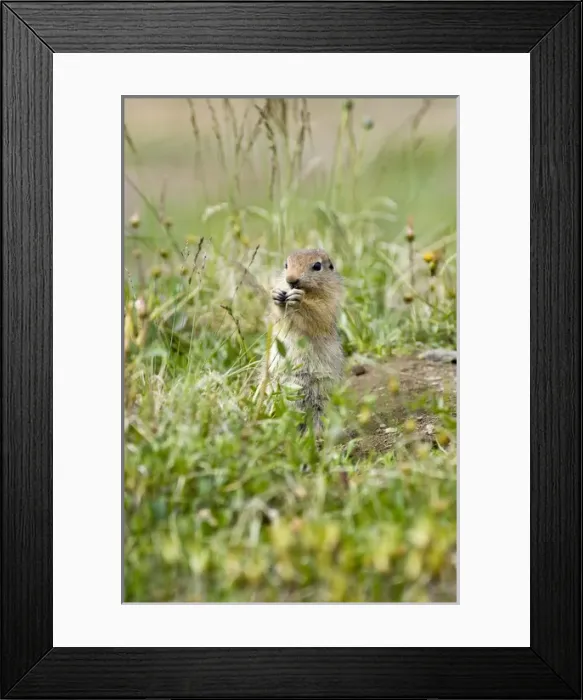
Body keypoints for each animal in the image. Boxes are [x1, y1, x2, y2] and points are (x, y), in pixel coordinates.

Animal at [265, 248, 344, 435]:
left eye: (317, 266)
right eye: (286, 264)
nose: (291, 280)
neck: (308, 291)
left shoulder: (329, 301)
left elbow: (317, 313)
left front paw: (298, 300)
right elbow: (279, 317)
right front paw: (276, 295)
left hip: (321, 396)